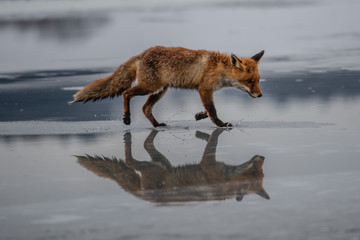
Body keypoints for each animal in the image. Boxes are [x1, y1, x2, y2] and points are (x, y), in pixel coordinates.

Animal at [72, 45, 264, 126]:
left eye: (258, 80)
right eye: (249, 81)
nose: (260, 95)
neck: (219, 69)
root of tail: (142, 54)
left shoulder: (207, 91)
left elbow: (208, 110)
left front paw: (199, 115)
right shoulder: (204, 88)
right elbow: (213, 110)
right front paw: (220, 124)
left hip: (160, 91)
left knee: (145, 108)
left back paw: (156, 125)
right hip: (150, 87)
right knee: (126, 93)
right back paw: (127, 118)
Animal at [76, 128, 268, 203]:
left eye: (261, 172)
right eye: (255, 170)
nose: (263, 157)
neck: (226, 181)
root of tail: (142, 196)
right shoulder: (208, 162)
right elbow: (213, 139)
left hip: (161, 164)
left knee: (144, 147)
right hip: (157, 166)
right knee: (131, 160)